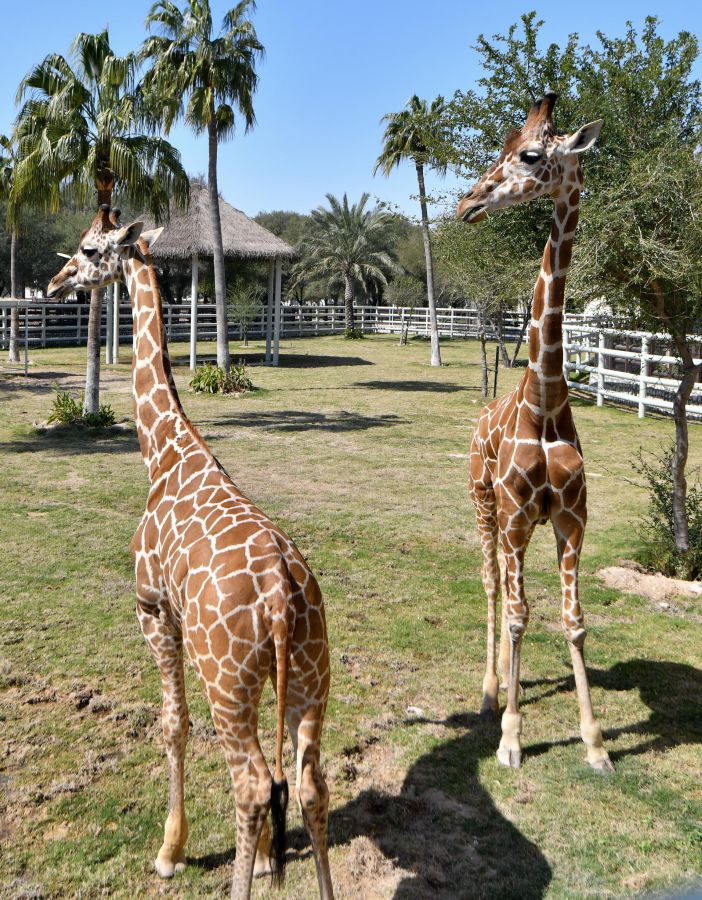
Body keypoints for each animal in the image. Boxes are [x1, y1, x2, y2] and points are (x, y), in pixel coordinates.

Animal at [47, 206, 335, 900]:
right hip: (310, 676)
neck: (166, 451)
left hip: (225, 679)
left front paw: (169, 851)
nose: (55, 281)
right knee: (308, 784)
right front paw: (261, 856)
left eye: (89, 249)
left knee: (253, 783)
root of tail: (282, 597)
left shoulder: (153, 611)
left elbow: (172, 723)